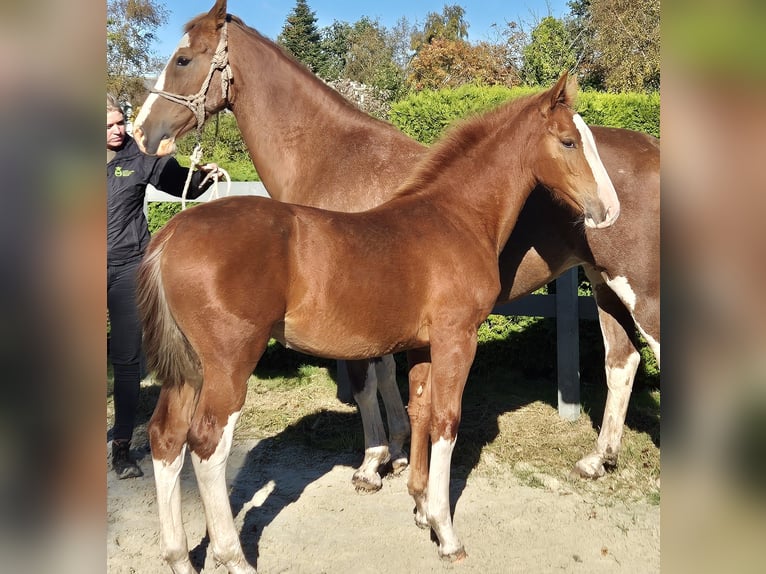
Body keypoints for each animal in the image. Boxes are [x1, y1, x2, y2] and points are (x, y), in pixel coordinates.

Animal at [134, 0, 660, 488]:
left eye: (182, 59)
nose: (143, 131)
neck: (331, 156)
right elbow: (391, 378)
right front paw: (402, 450)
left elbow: (367, 383)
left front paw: (374, 462)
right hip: (604, 284)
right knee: (623, 361)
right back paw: (598, 459)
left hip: (640, 290)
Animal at [136, 75, 616, 572]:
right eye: (568, 141)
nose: (608, 209)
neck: (457, 217)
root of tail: (172, 233)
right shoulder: (457, 337)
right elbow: (446, 419)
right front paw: (446, 531)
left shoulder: (422, 344)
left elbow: (419, 411)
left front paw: (421, 508)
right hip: (229, 364)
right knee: (207, 443)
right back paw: (233, 557)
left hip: (189, 369)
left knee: (165, 437)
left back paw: (179, 556)